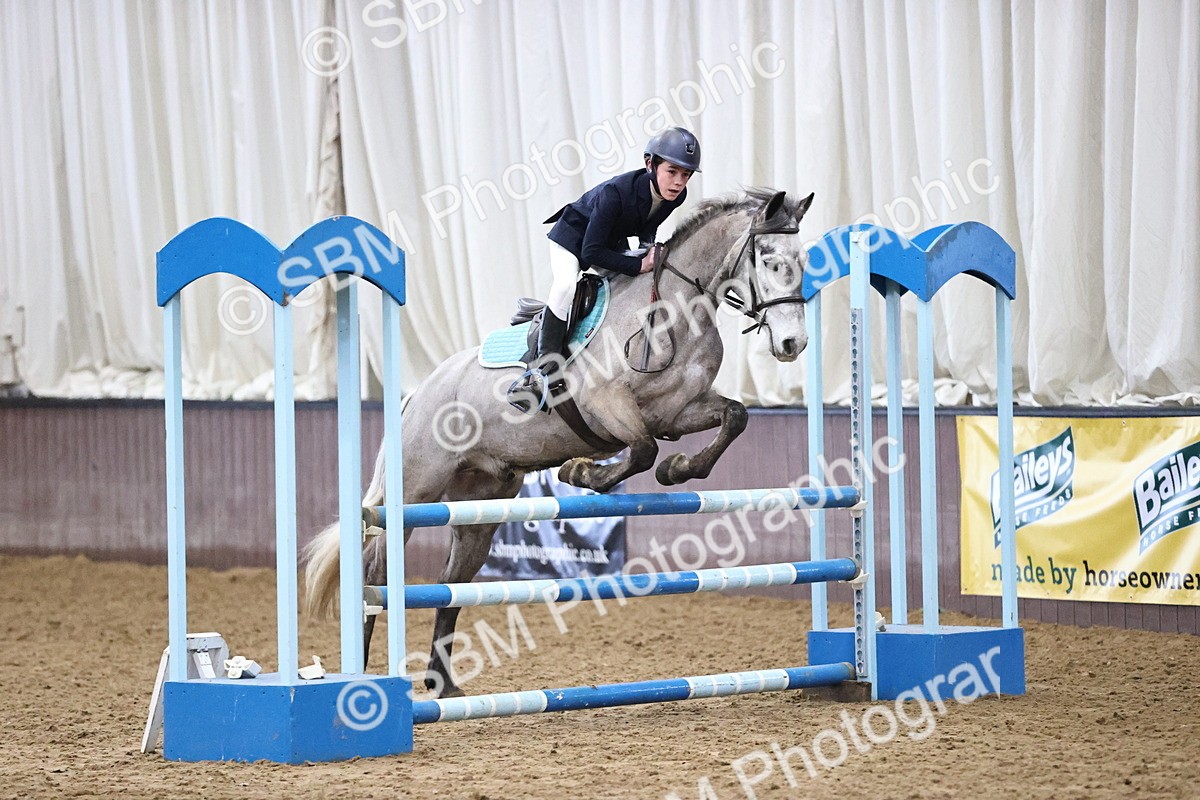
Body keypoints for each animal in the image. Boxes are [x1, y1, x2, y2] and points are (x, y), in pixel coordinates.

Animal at [304, 187, 815, 697]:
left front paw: (678, 469)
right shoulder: (607, 404)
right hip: (414, 494)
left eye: (803, 260)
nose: (794, 344)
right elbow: (642, 449)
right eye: (769, 259)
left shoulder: (678, 410)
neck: (673, 309)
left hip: (480, 505)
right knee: (375, 575)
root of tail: (417, 395)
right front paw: (581, 471)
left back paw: (444, 685)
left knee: (453, 585)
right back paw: (363, 681)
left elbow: (733, 418)